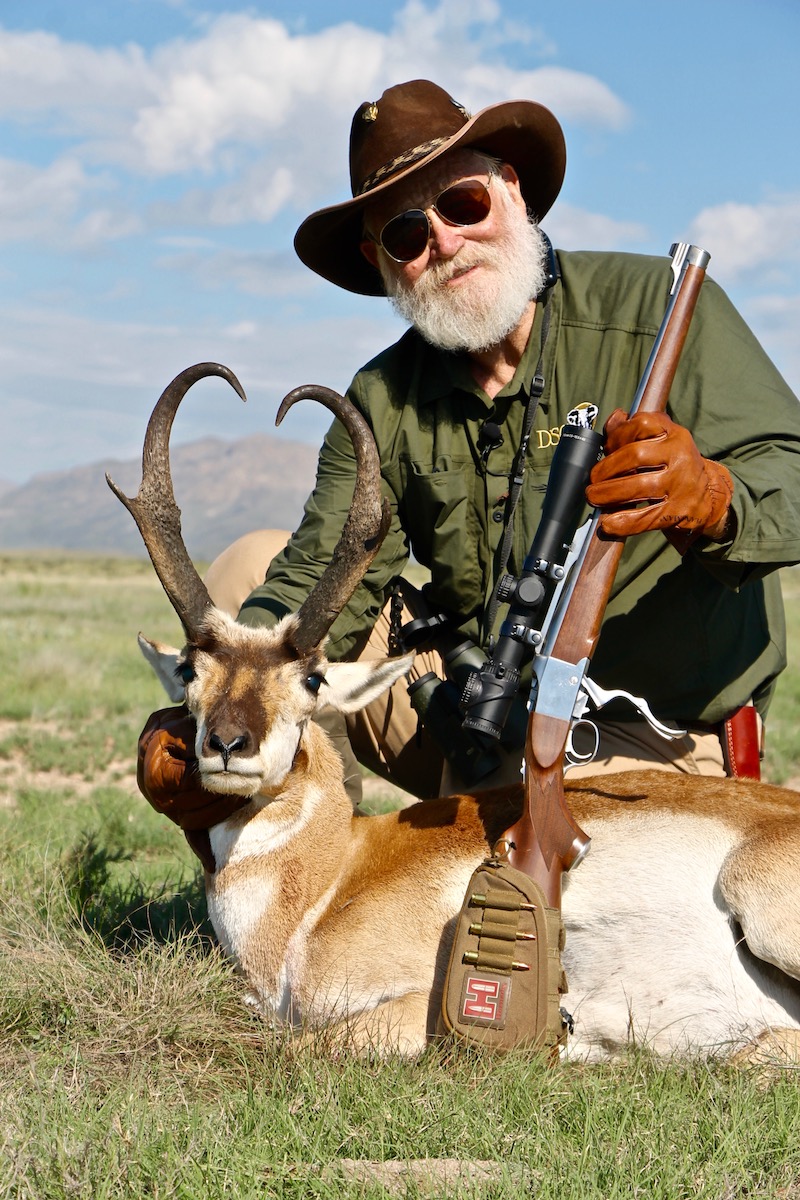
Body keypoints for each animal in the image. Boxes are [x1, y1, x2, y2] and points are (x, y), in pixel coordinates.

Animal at [110, 364, 800, 1060]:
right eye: (190, 672)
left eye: (312, 678)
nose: (228, 745)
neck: (333, 879)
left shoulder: (413, 1010)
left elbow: (304, 1043)